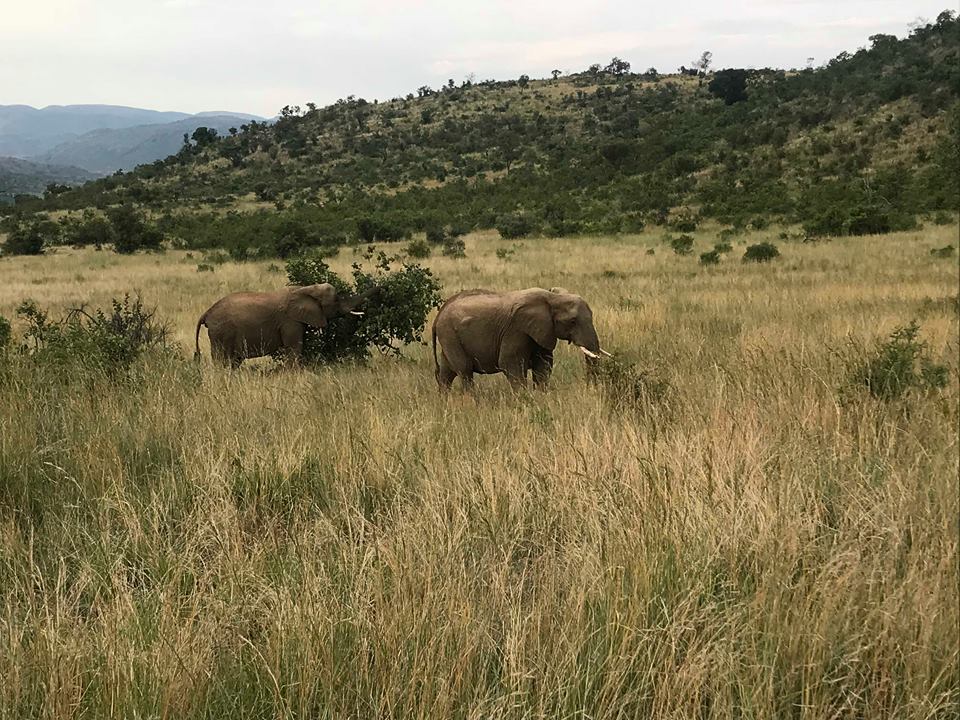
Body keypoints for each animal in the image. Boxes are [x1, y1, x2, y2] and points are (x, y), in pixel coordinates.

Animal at [195, 284, 372, 368]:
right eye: (336, 300)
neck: (305, 288)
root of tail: (207, 313)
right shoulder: (290, 321)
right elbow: (294, 347)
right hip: (221, 333)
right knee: (221, 359)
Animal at [434, 286, 612, 390]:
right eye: (573, 321)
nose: (591, 389)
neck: (552, 298)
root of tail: (438, 315)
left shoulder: (542, 331)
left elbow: (543, 366)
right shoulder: (516, 330)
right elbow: (510, 364)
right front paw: (524, 402)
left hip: (448, 337)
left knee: (447, 373)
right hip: (449, 334)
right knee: (464, 371)